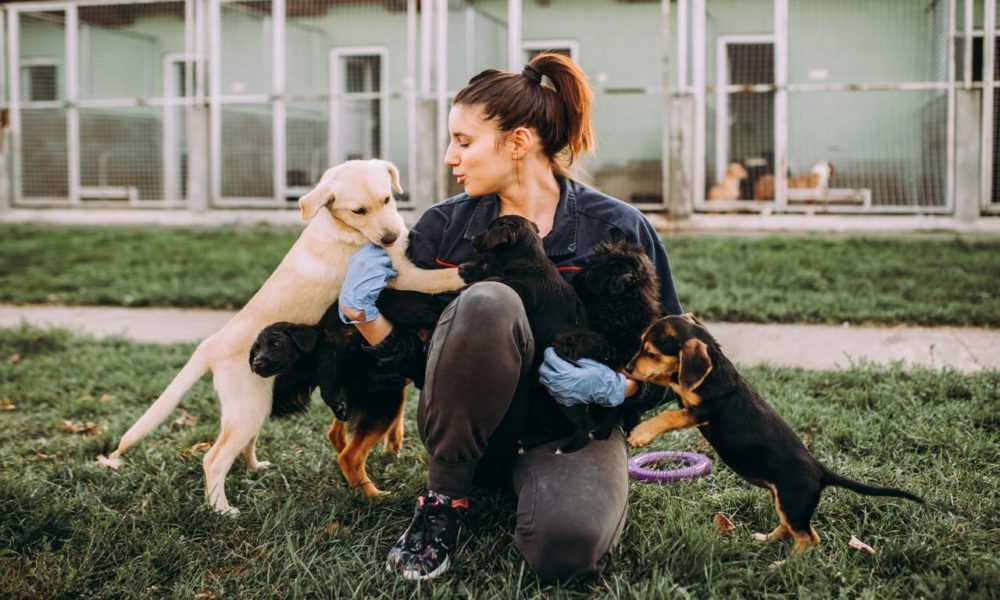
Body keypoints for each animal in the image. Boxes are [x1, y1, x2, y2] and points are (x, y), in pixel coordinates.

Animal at [458, 213, 596, 452]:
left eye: (488, 230)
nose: (459, 268)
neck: (528, 258)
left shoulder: (525, 291)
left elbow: (500, 279)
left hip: (566, 397)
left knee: (581, 425)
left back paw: (568, 447)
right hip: (541, 400)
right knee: (554, 428)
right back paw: (530, 440)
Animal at [624, 316, 920, 556]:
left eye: (650, 352)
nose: (626, 368)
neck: (715, 372)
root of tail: (821, 471)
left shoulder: (702, 410)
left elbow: (668, 416)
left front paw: (640, 433)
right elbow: (670, 383)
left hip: (792, 502)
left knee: (809, 538)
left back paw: (783, 566)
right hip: (784, 503)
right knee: (793, 530)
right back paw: (766, 540)